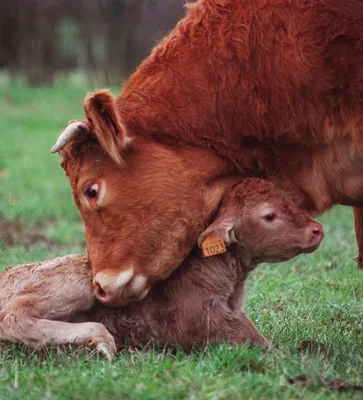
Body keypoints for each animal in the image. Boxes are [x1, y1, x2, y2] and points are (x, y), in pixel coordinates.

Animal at [0, 179, 324, 356]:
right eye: (270, 216)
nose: (317, 230)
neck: (229, 284)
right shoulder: (201, 319)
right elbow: (255, 339)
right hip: (79, 282)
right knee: (12, 318)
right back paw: (100, 338)